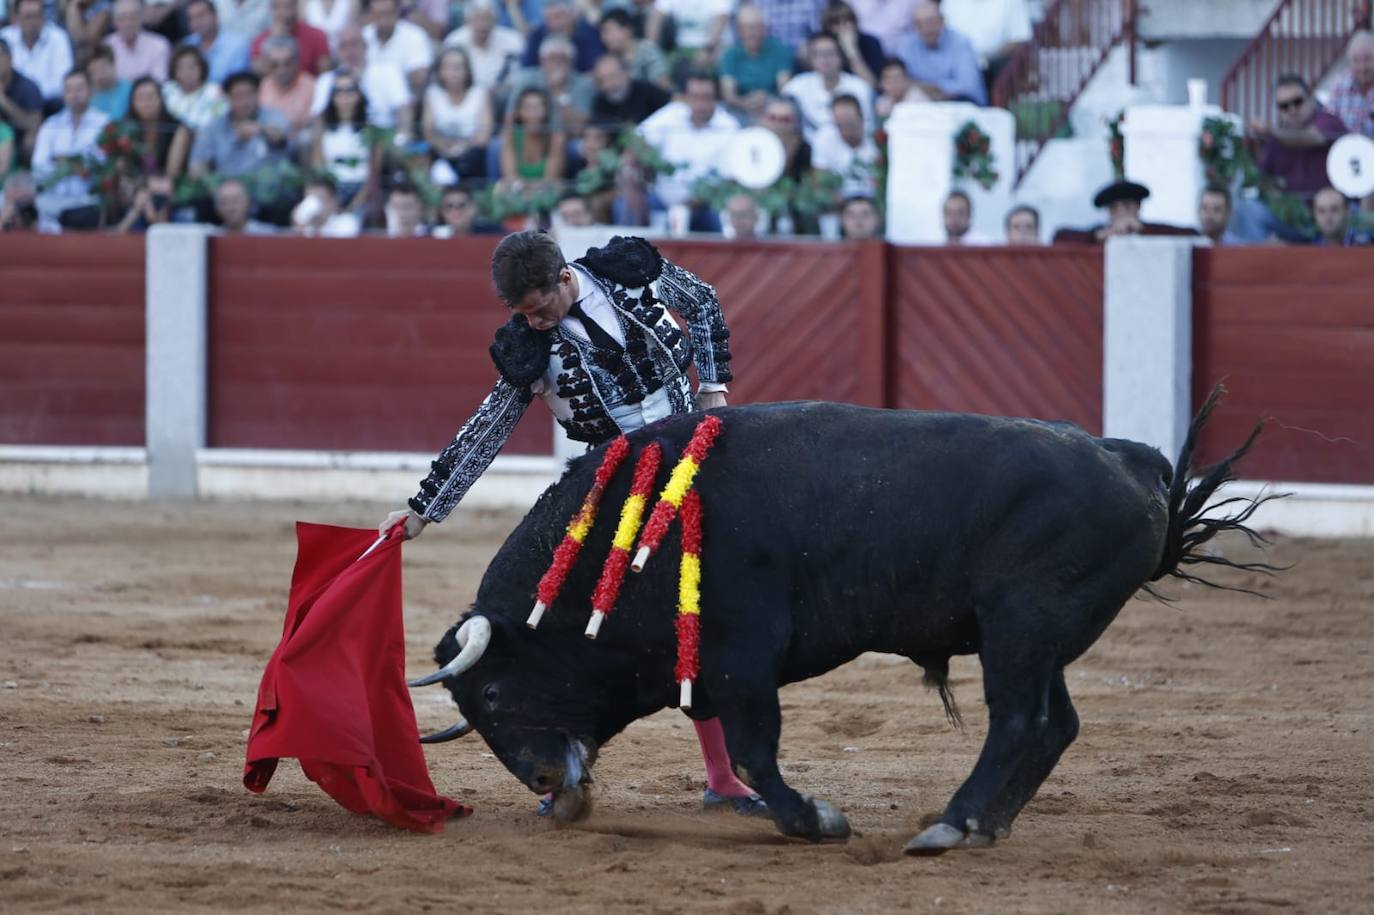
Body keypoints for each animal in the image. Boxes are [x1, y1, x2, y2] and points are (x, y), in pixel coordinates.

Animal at [412, 392, 1269, 857]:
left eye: (492, 699)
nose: (545, 783)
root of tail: (1132, 460)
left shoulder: (741, 658)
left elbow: (756, 752)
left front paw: (817, 819)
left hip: (1021, 628)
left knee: (1020, 720)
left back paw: (951, 824)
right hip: (1037, 637)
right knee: (1055, 723)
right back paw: (982, 824)